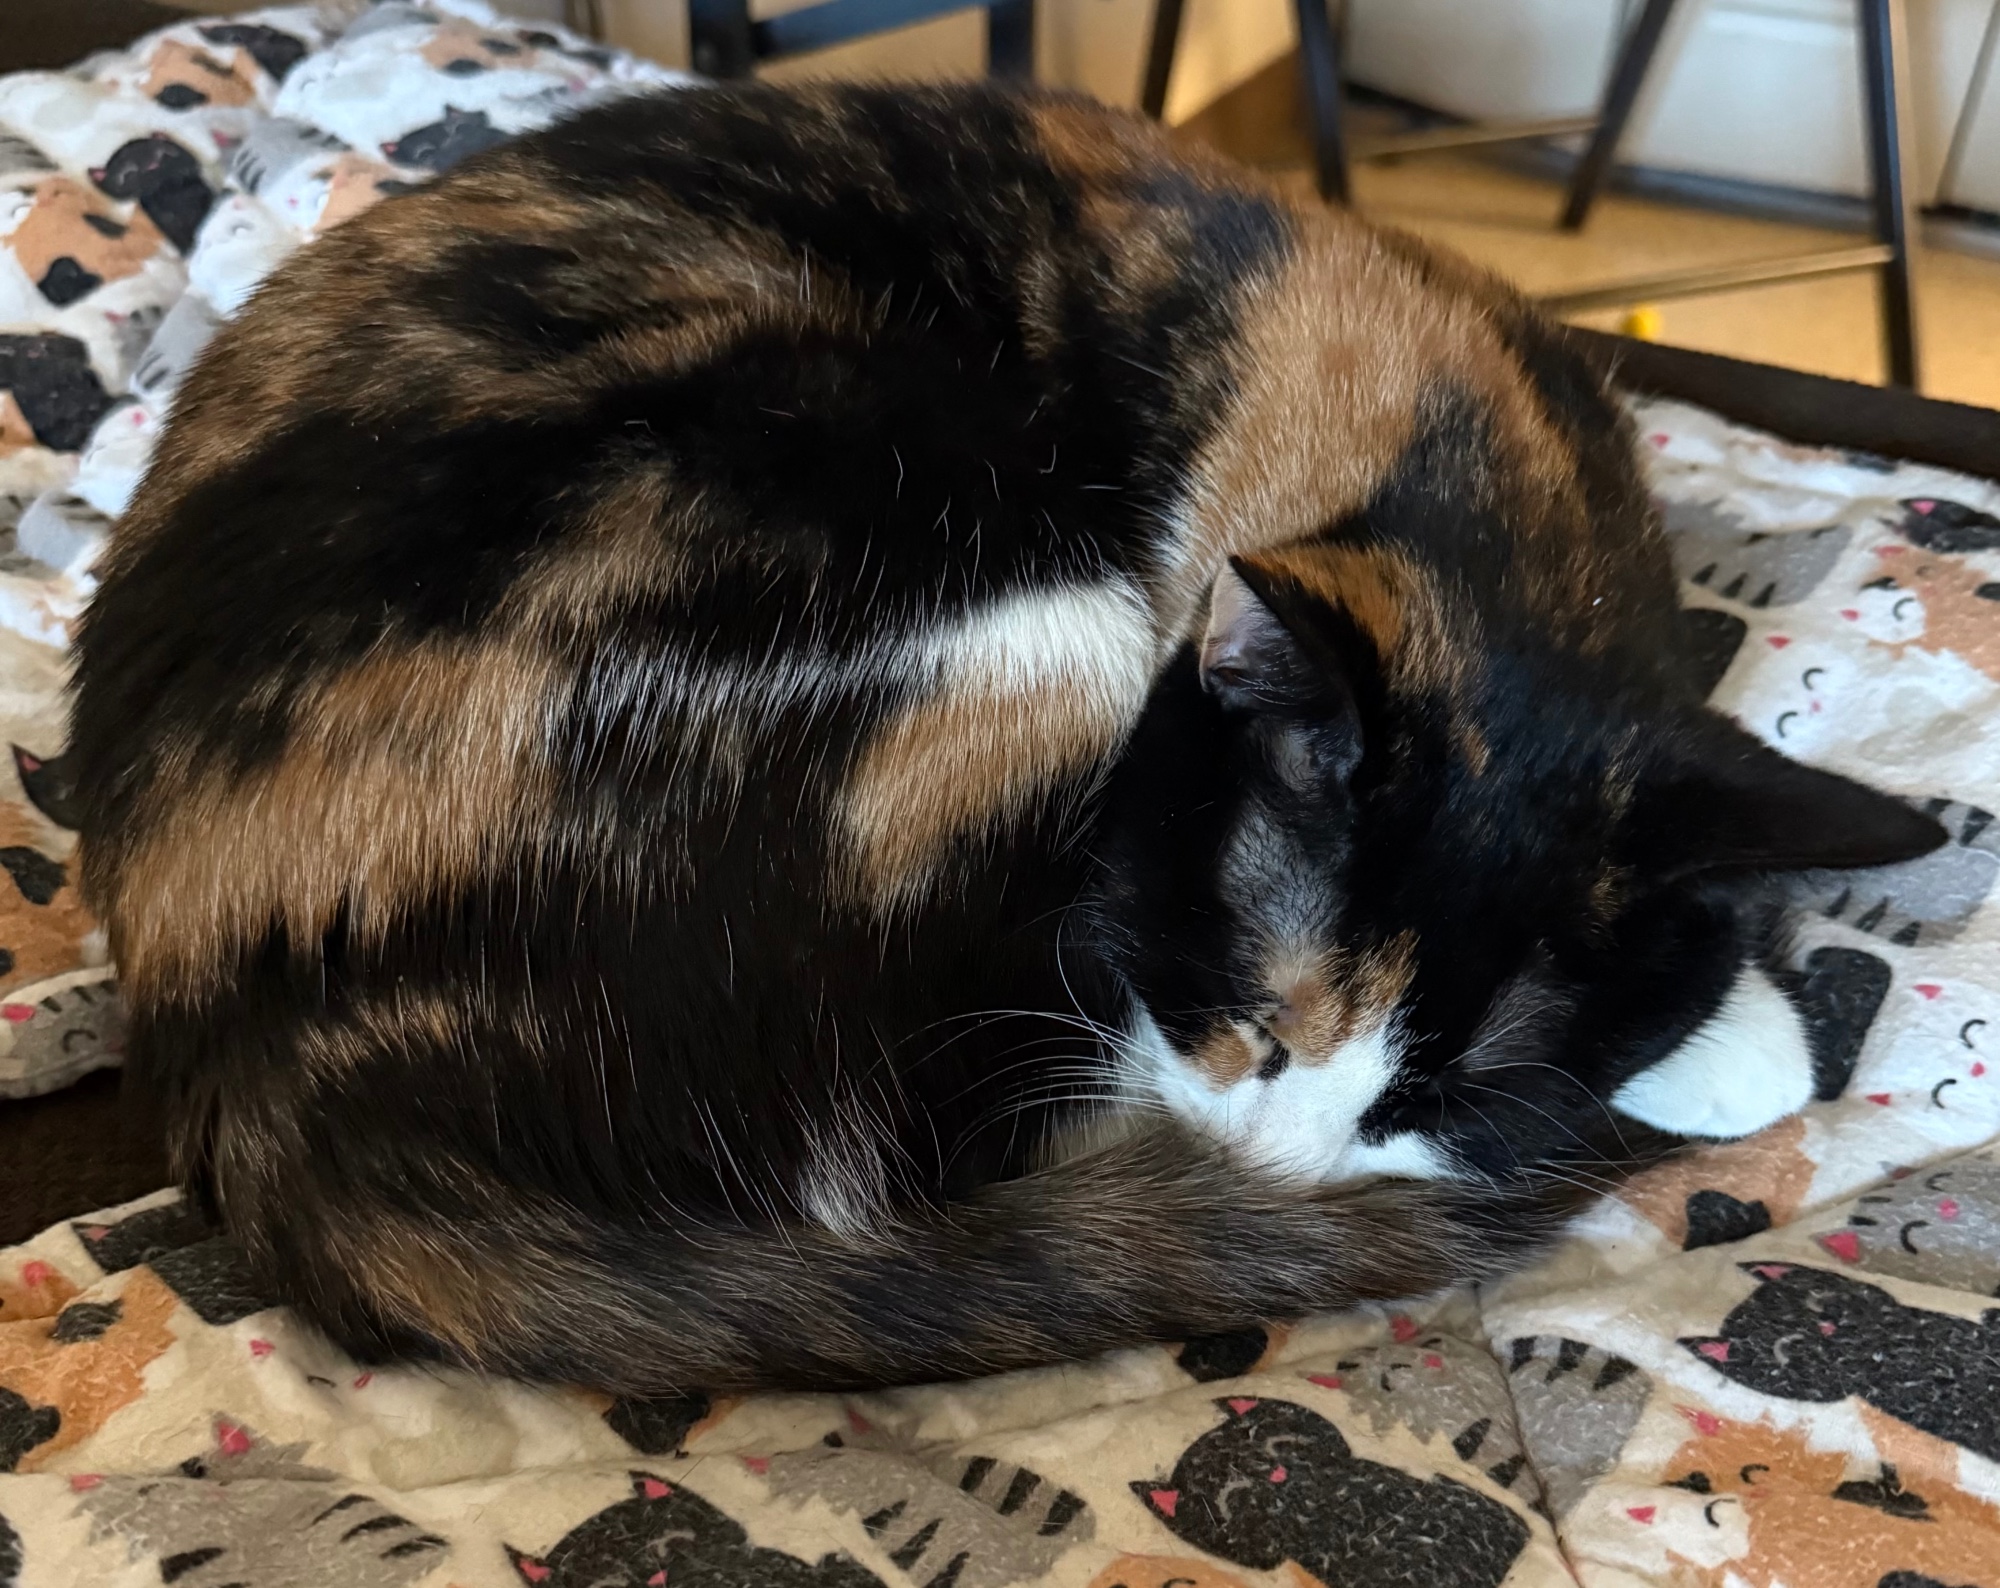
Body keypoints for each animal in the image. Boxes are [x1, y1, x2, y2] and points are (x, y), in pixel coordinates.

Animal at [68, 83, 1944, 1393]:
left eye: (1431, 1090)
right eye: (1257, 1013)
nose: (1276, 1169)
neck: (1494, 450)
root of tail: (258, 1092)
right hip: (1007, 623)